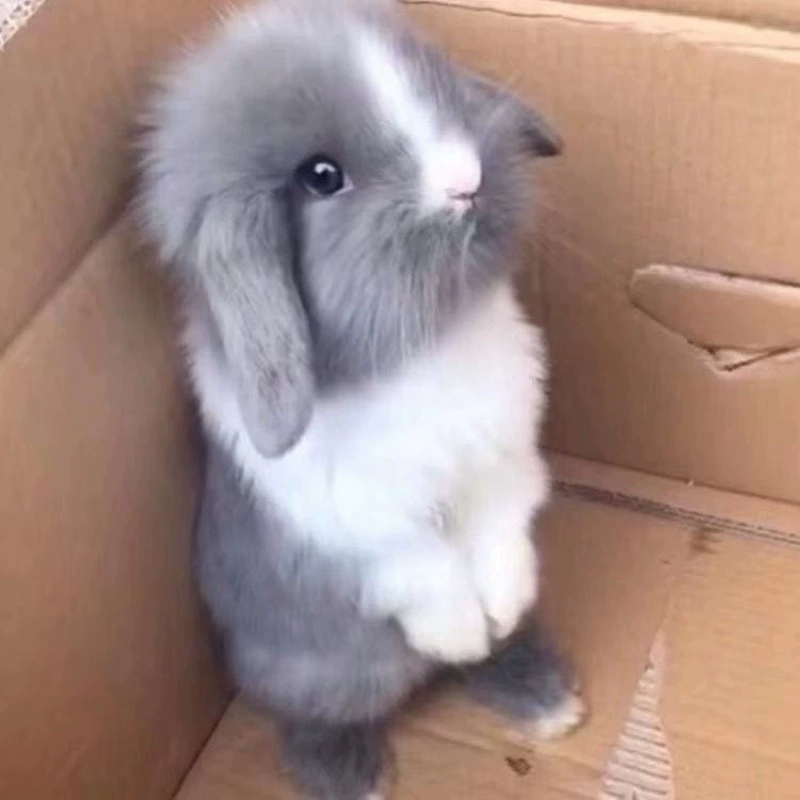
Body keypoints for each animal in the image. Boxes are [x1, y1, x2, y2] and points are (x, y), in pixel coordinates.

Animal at [137, 0, 585, 797]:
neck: (421, 349)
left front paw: (500, 610)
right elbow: (423, 569)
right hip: (329, 675)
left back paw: (544, 697)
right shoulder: (358, 528)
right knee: (316, 718)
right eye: (321, 177)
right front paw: (460, 627)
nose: (465, 179)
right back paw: (356, 775)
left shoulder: (507, 464)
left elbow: (502, 536)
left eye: (437, 83)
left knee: (484, 660)